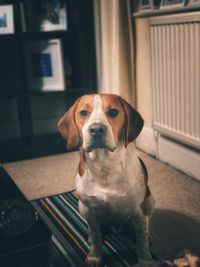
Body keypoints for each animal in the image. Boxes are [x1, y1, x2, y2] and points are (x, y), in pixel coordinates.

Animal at [57, 94, 155, 267]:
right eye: (83, 113)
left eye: (113, 112)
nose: (96, 129)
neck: (104, 165)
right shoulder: (89, 210)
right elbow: (96, 236)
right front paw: (94, 257)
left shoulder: (139, 210)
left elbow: (141, 240)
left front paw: (145, 260)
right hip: (81, 207)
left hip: (150, 201)